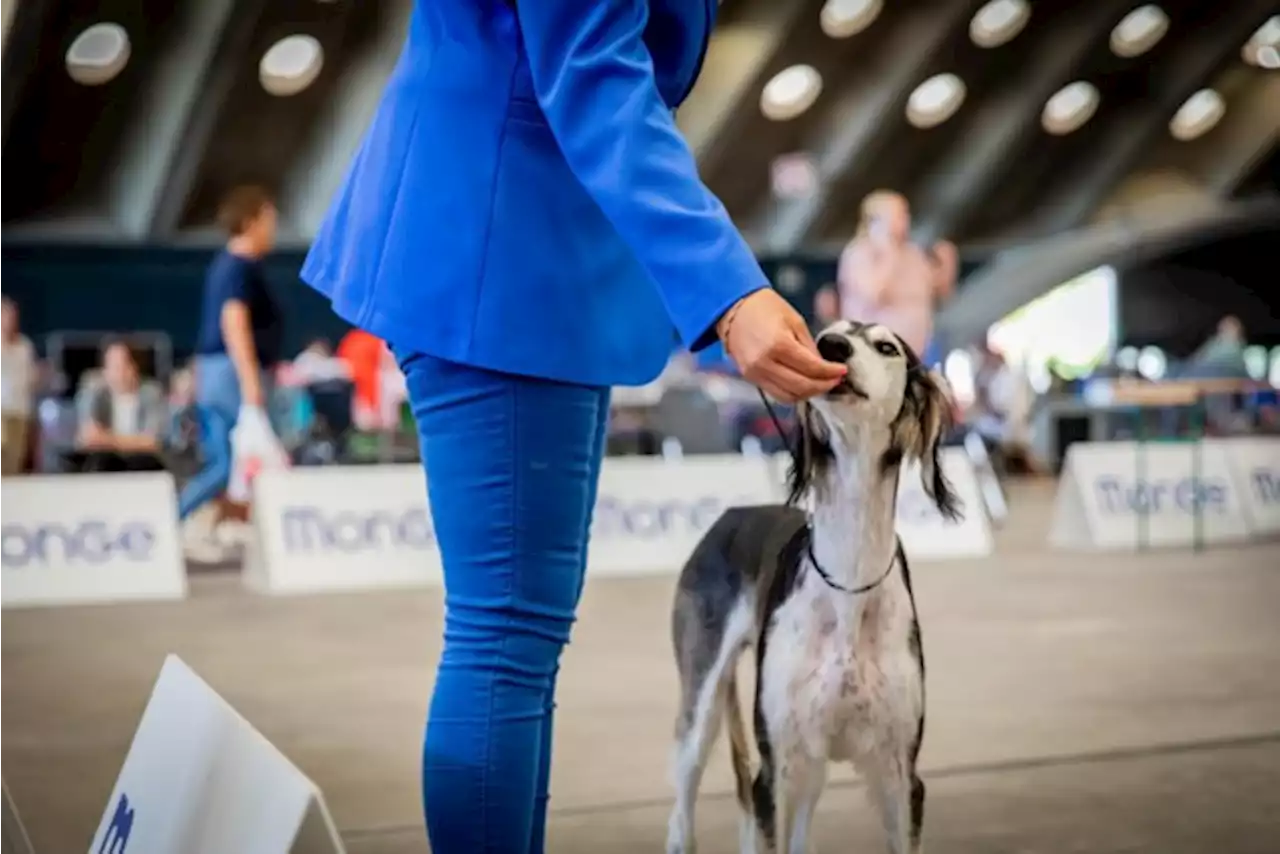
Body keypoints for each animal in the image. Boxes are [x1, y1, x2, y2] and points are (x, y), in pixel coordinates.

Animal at [670, 322, 962, 854]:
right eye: (824, 335)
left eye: (887, 347)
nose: (832, 347)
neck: (849, 580)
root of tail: (731, 515)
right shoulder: (775, 773)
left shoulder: (901, 775)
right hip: (700, 709)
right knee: (681, 814)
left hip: (810, 774)